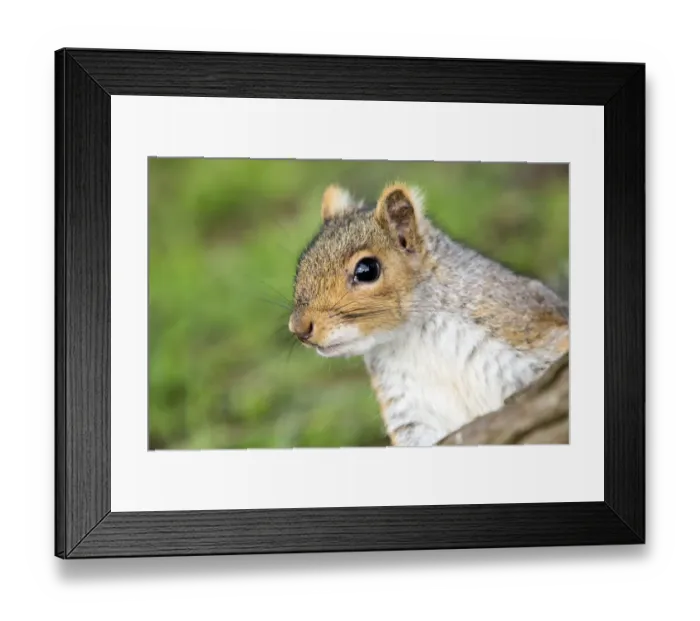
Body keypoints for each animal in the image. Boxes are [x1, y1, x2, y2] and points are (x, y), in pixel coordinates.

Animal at [289, 182, 569, 447]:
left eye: (367, 270)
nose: (298, 328)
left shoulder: (524, 325)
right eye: (302, 263)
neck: (414, 334)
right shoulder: (409, 411)